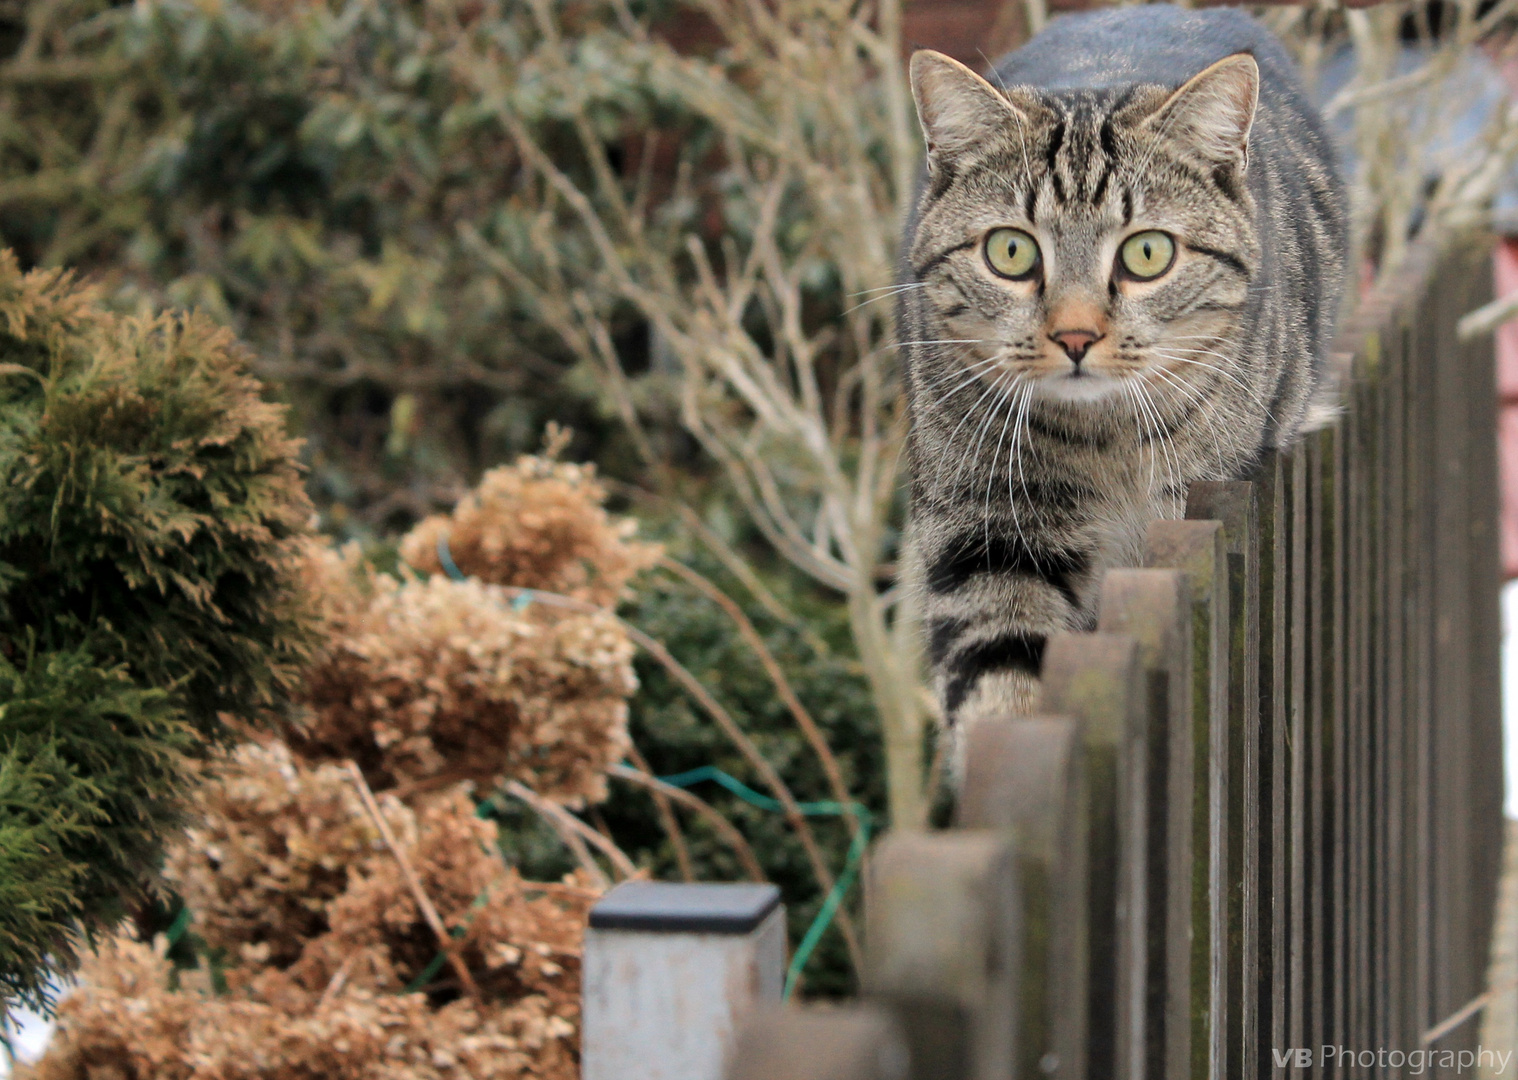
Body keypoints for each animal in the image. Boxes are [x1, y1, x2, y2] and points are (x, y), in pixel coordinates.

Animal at [892, 6, 1347, 753]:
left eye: (1148, 252)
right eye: (1010, 251)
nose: (1075, 336)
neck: (1100, 441)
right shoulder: (985, 529)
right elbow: (1001, 681)